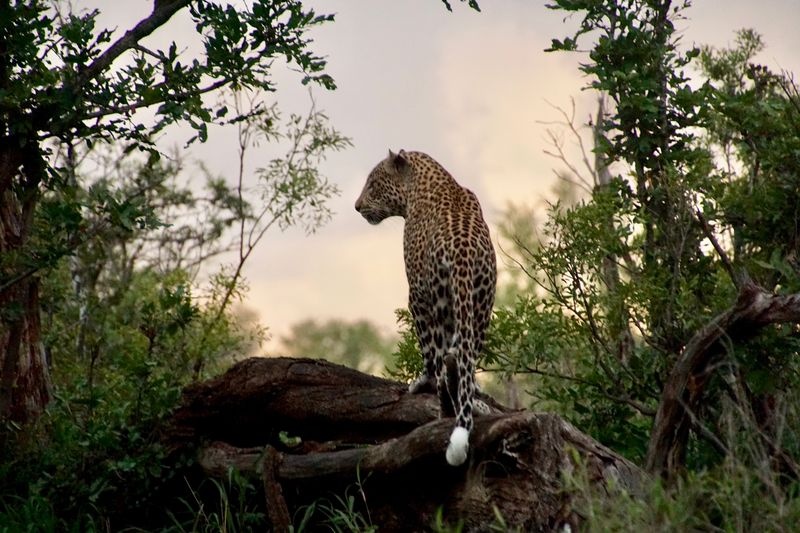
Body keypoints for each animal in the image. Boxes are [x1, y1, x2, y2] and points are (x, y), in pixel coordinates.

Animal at [355, 149, 496, 466]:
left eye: (373, 184)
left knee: (441, 358)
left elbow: (429, 349)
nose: (357, 207)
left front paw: (422, 382)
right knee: (462, 356)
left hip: (434, 302)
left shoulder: (416, 294)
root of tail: (462, 253)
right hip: (482, 303)